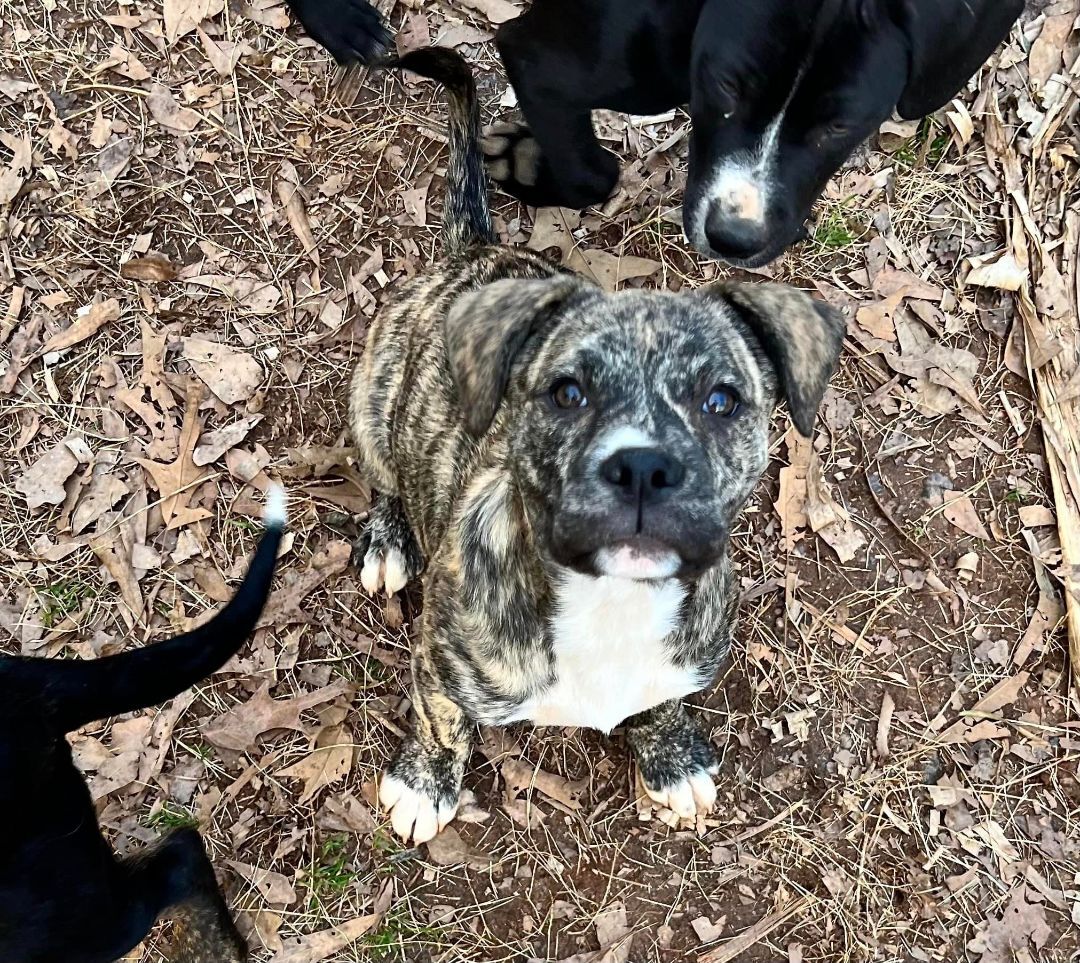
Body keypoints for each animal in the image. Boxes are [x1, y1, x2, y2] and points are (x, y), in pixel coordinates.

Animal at [291, 0, 1015, 266]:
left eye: (839, 124)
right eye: (725, 86)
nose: (733, 241)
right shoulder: (540, 56)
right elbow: (593, 173)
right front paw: (527, 165)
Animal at [349, 46, 846, 842]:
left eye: (721, 400)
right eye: (567, 392)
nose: (642, 466)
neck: (612, 602)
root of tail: (475, 252)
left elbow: (662, 702)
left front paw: (671, 759)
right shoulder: (440, 660)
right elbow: (440, 719)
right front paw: (426, 784)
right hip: (371, 401)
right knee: (388, 478)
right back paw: (390, 540)